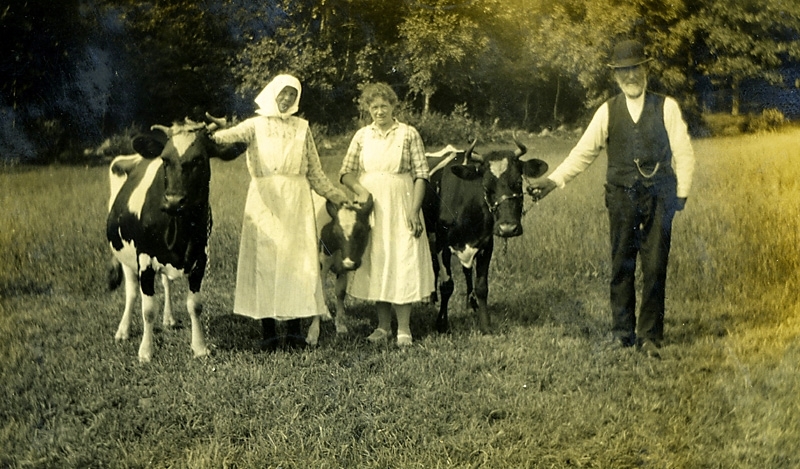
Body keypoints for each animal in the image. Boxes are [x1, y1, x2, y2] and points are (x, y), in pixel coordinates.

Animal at [107, 119, 244, 360]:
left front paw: (199, 347)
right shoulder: (144, 259)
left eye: (199, 159)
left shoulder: (200, 258)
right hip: (124, 254)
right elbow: (148, 309)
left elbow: (195, 305)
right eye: (165, 159)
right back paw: (123, 331)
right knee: (131, 293)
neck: (179, 233)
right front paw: (146, 351)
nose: (173, 201)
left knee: (166, 283)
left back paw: (169, 319)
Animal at [306, 192, 376, 346]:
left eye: (361, 232)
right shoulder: (322, 264)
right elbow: (320, 293)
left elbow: (340, 292)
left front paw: (341, 326)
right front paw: (313, 333)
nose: (350, 263)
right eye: (336, 232)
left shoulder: (342, 268)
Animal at [422, 138, 548, 332]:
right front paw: (441, 323)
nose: (507, 228)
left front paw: (485, 324)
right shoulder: (443, 245)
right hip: (431, 236)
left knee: (466, 271)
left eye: (518, 182)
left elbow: (482, 286)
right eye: (486, 186)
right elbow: (447, 286)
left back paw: (471, 303)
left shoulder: (486, 244)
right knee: (434, 265)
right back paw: (432, 297)